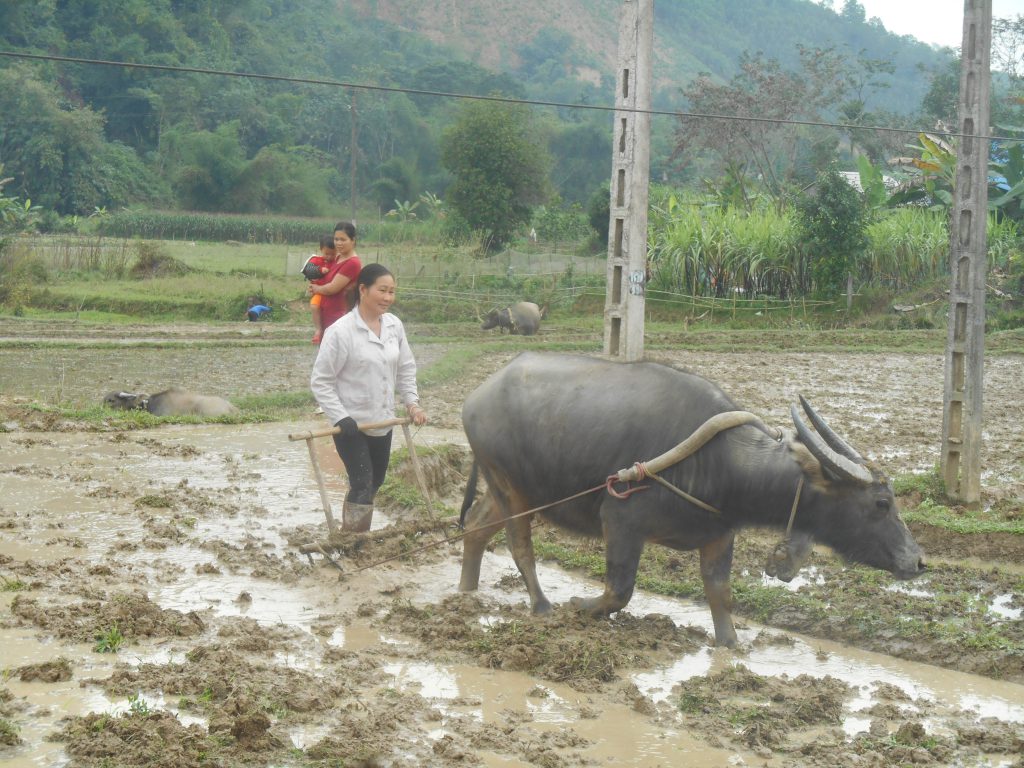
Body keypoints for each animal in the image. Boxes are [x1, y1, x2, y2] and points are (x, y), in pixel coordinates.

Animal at [460, 354, 925, 651]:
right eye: (882, 502)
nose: (918, 561)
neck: (722, 463)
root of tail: (476, 397)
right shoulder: (621, 520)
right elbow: (619, 591)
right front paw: (580, 605)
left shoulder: (719, 535)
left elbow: (720, 594)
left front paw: (731, 645)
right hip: (510, 487)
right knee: (520, 546)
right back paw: (542, 606)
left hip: (508, 489)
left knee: (475, 529)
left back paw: (465, 592)